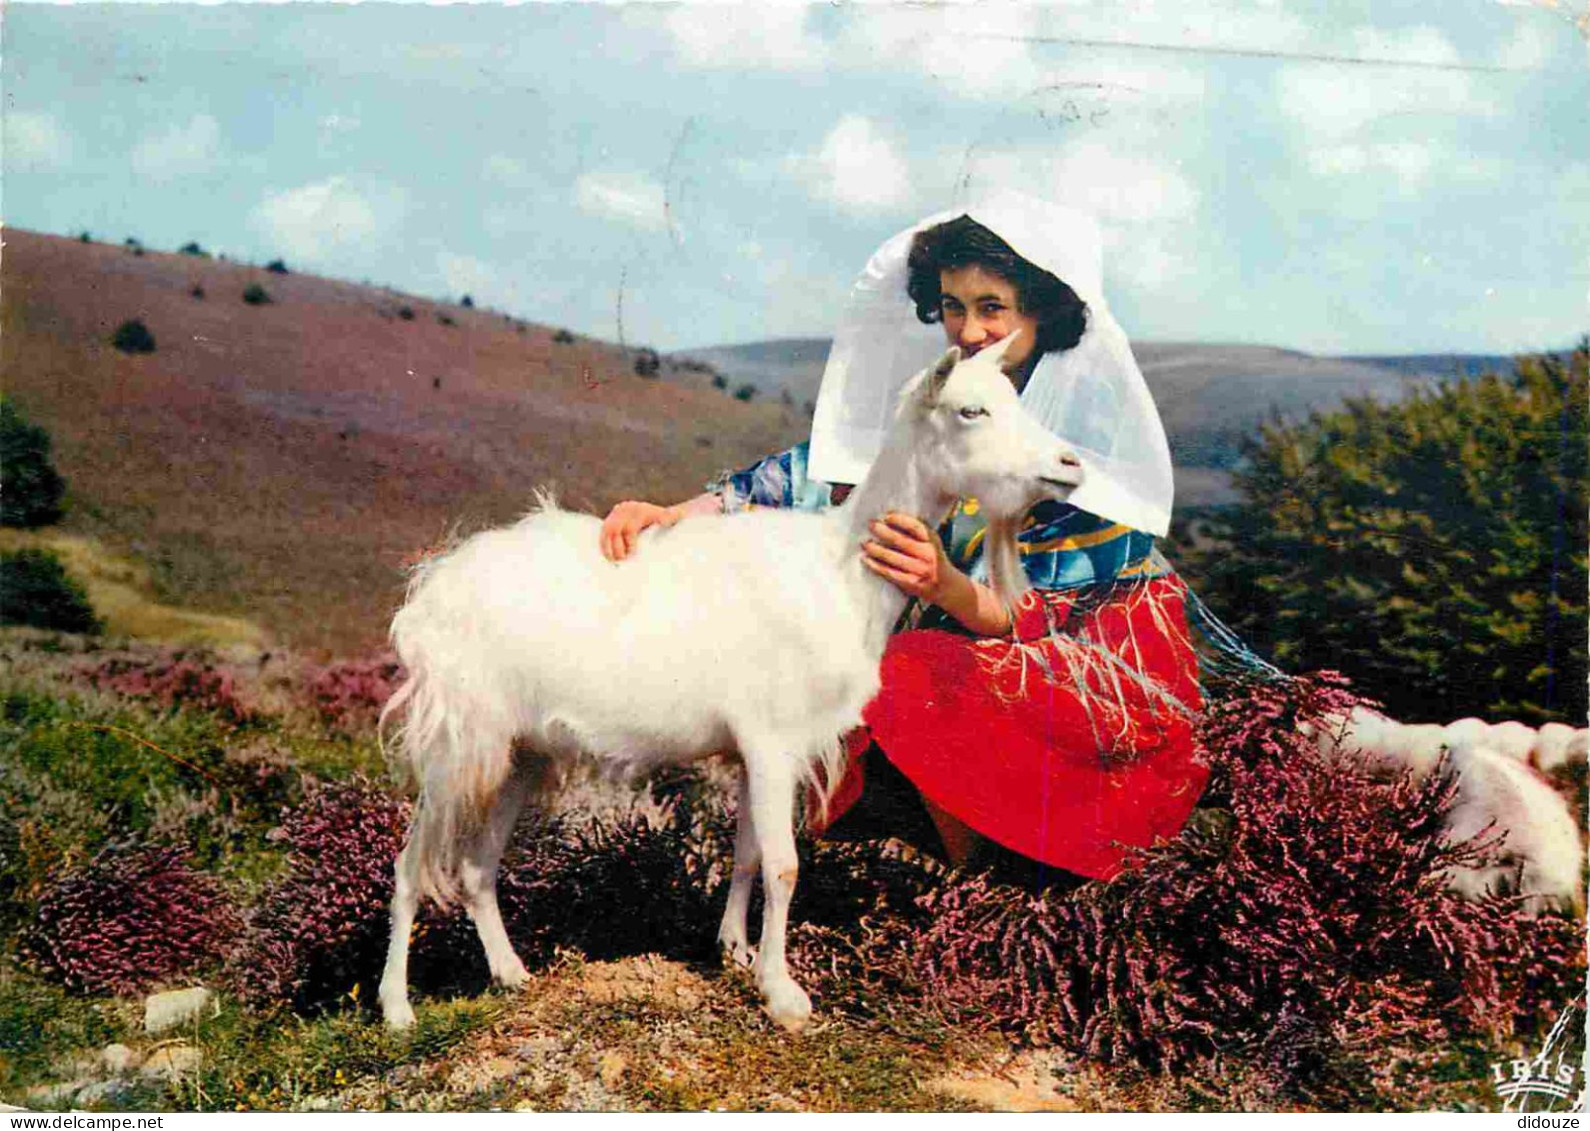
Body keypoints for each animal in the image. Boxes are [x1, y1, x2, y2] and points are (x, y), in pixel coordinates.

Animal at [378, 332, 1087, 1030]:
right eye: (971, 410)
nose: (1070, 464)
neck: (839, 574)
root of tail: (433, 587)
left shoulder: (763, 751)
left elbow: (748, 853)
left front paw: (736, 952)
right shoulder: (772, 739)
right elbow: (784, 864)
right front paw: (784, 994)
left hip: (520, 751)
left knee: (475, 867)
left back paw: (510, 974)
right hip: (457, 740)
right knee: (412, 864)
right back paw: (397, 1008)